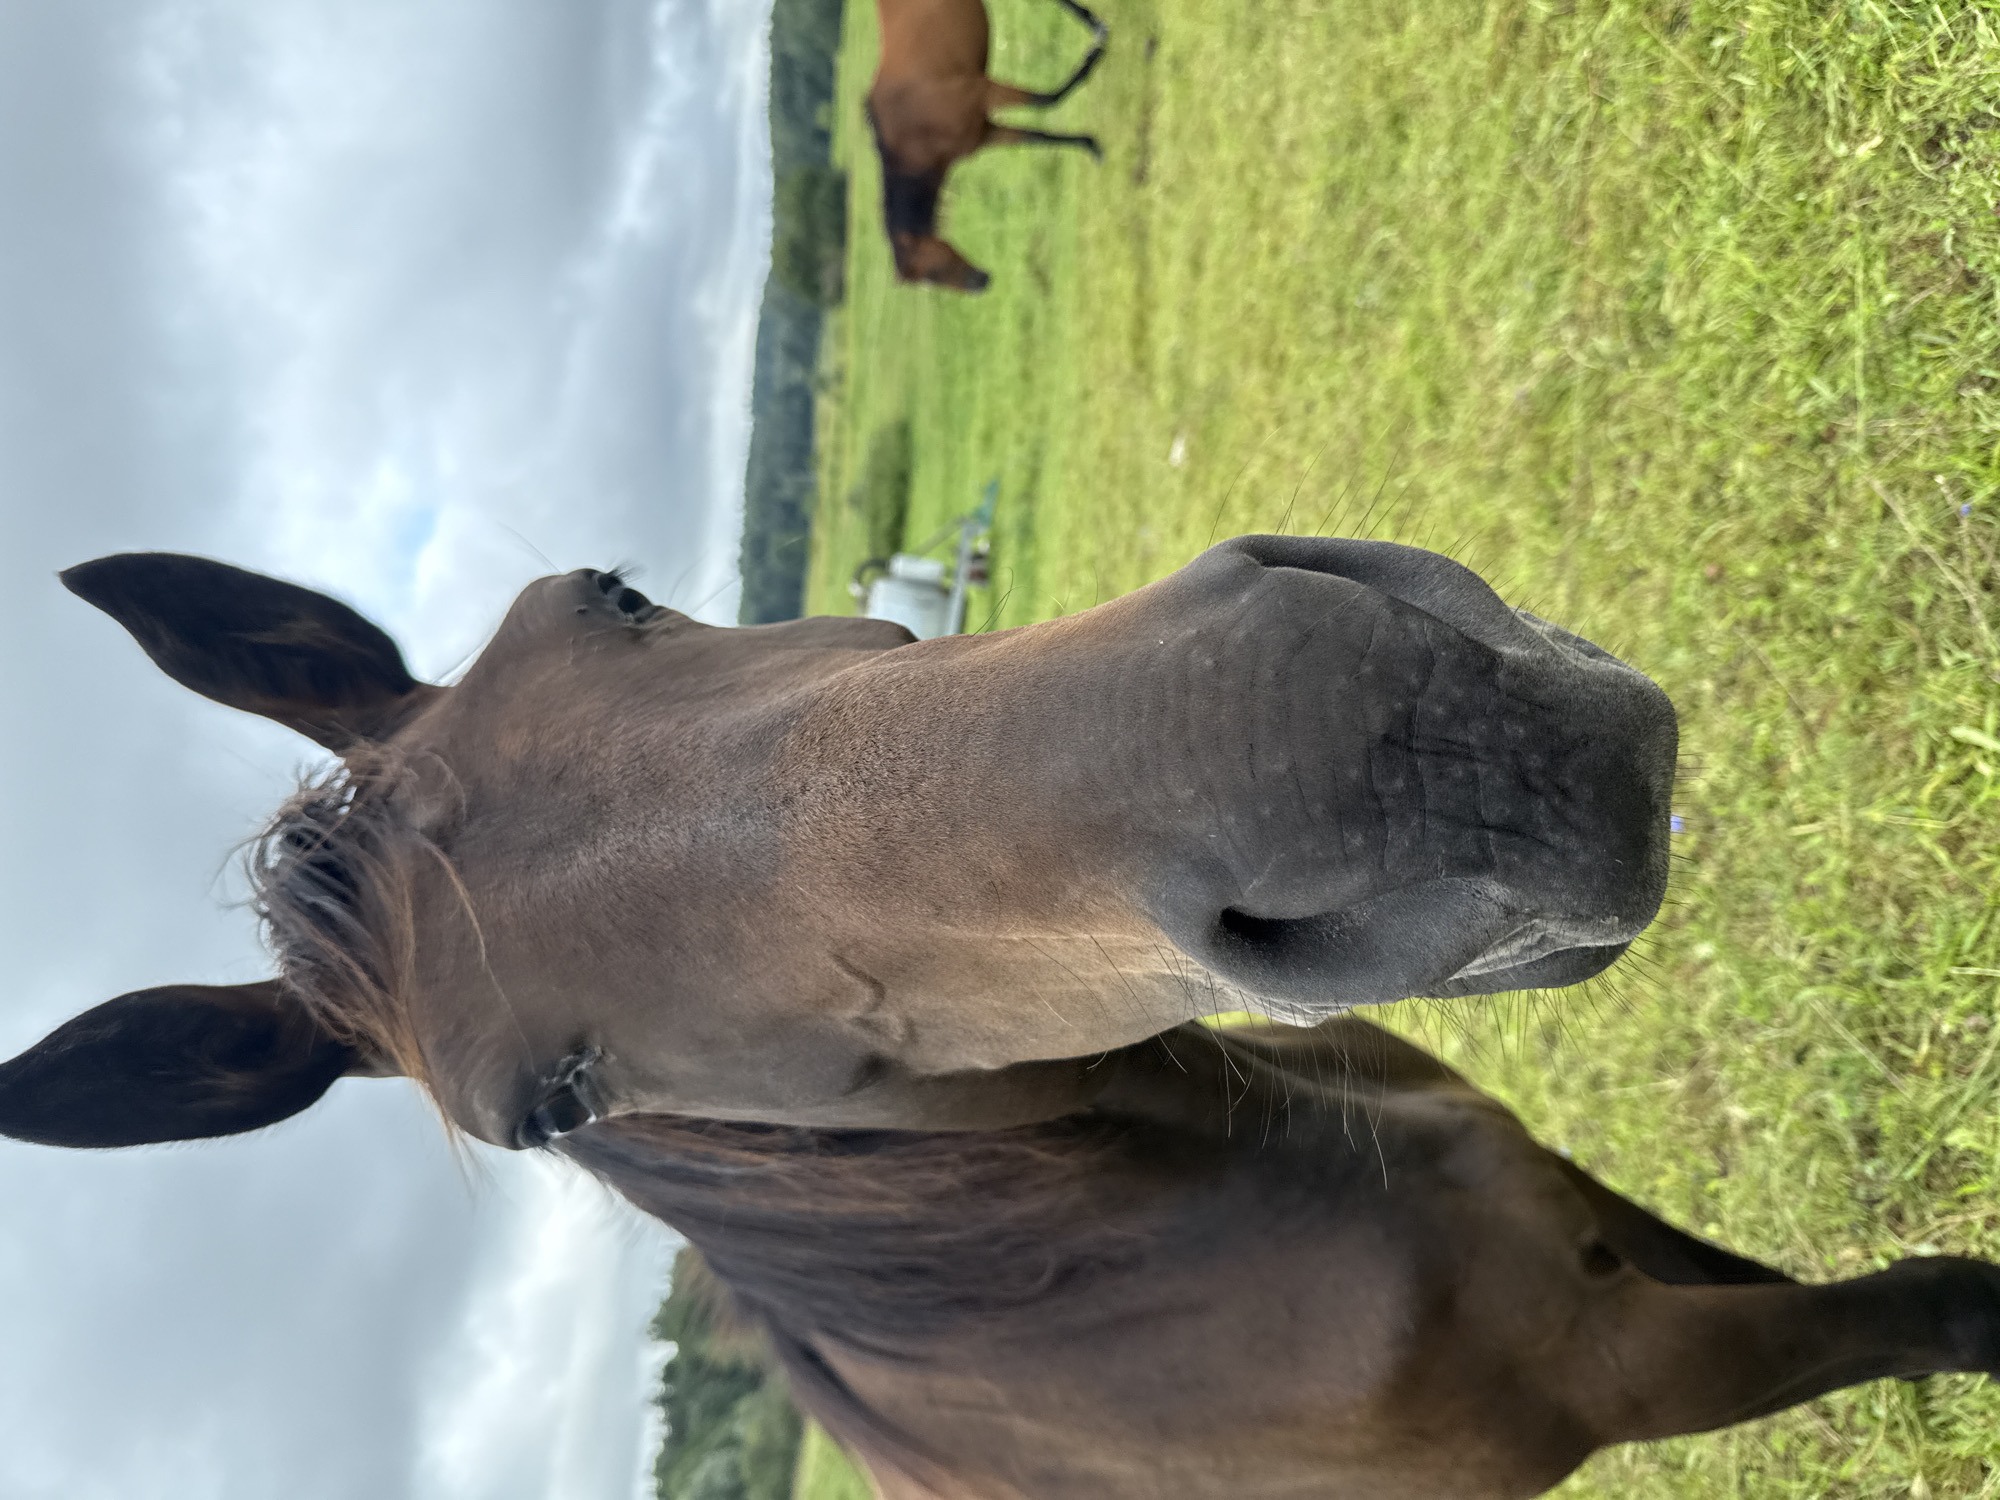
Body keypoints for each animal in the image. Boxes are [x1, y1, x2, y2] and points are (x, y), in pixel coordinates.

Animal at [868, 0, 1108, 291]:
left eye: (933, 272)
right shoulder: (986, 133)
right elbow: (1039, 135)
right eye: (931, 282)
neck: (915, 133)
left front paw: (1091, 61)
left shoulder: (983, 92)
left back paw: (1096, 28)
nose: (981, 282)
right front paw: (1091, 145)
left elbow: (1047, 99)